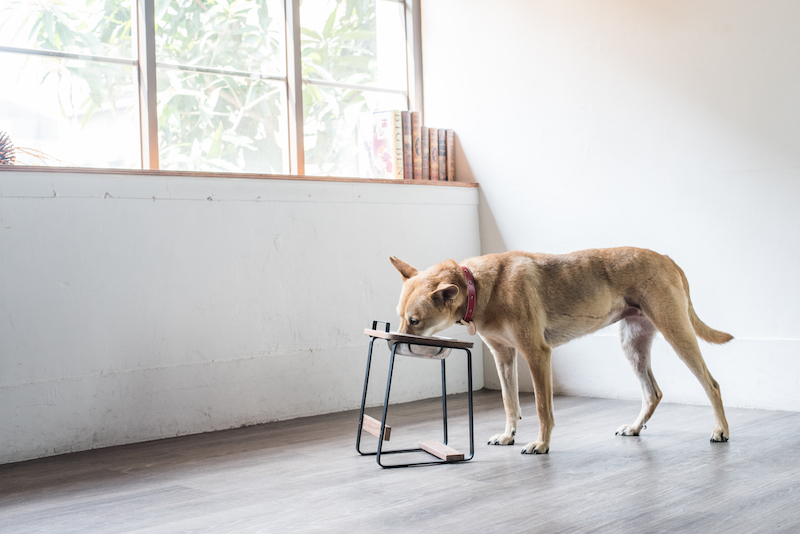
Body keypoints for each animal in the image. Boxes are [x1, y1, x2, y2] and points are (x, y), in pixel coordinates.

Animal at [390, 247, 732, 455]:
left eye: (415, 321)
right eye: (400, 316)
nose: (394, 342)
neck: (479, 286)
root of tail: (665, 257)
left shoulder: (536, 353)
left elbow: (543, 408)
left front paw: (541, 444)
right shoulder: (504, 357)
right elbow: (509, 402)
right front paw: (508, 435)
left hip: (677, 333)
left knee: (712, 384)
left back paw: (721, 430)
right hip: (632, 344)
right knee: (653, 393)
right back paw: (635, 427)